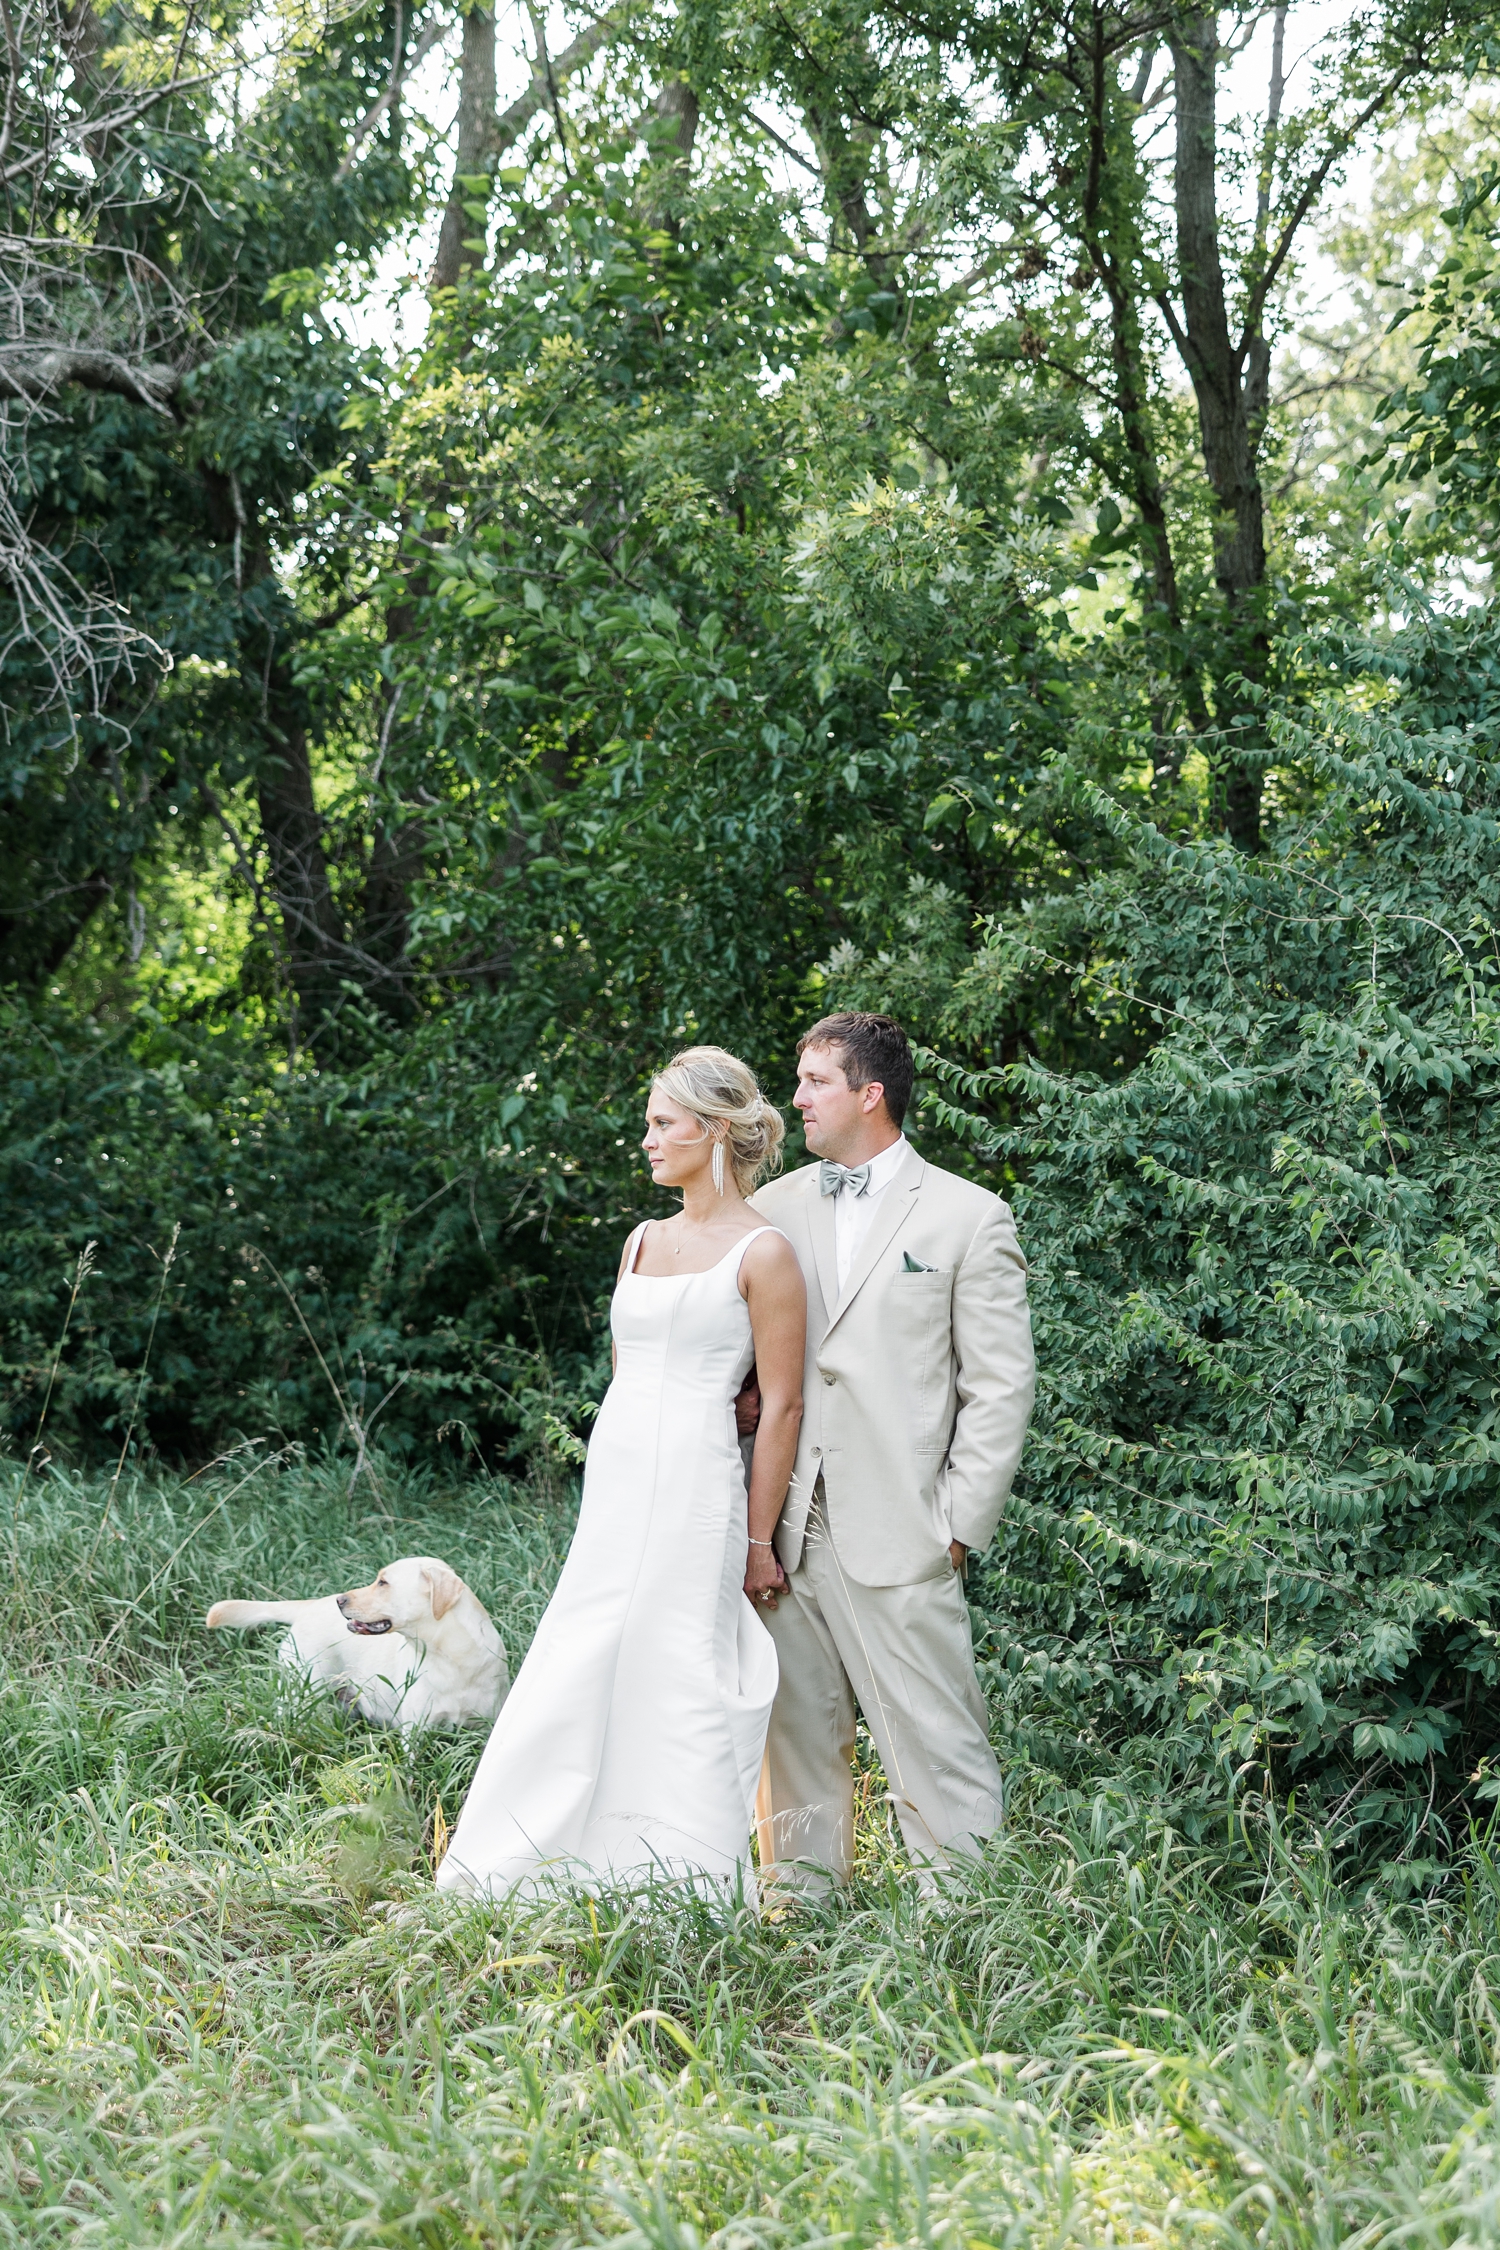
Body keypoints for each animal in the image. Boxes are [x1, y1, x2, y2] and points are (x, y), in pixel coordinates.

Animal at [205, 1557, 510, 1728]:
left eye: (383, 1582)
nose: (339, 1600)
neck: (451, 1658)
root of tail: (309, 1606)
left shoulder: (485, 1727)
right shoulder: (415, 1732)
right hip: (302, 1693)